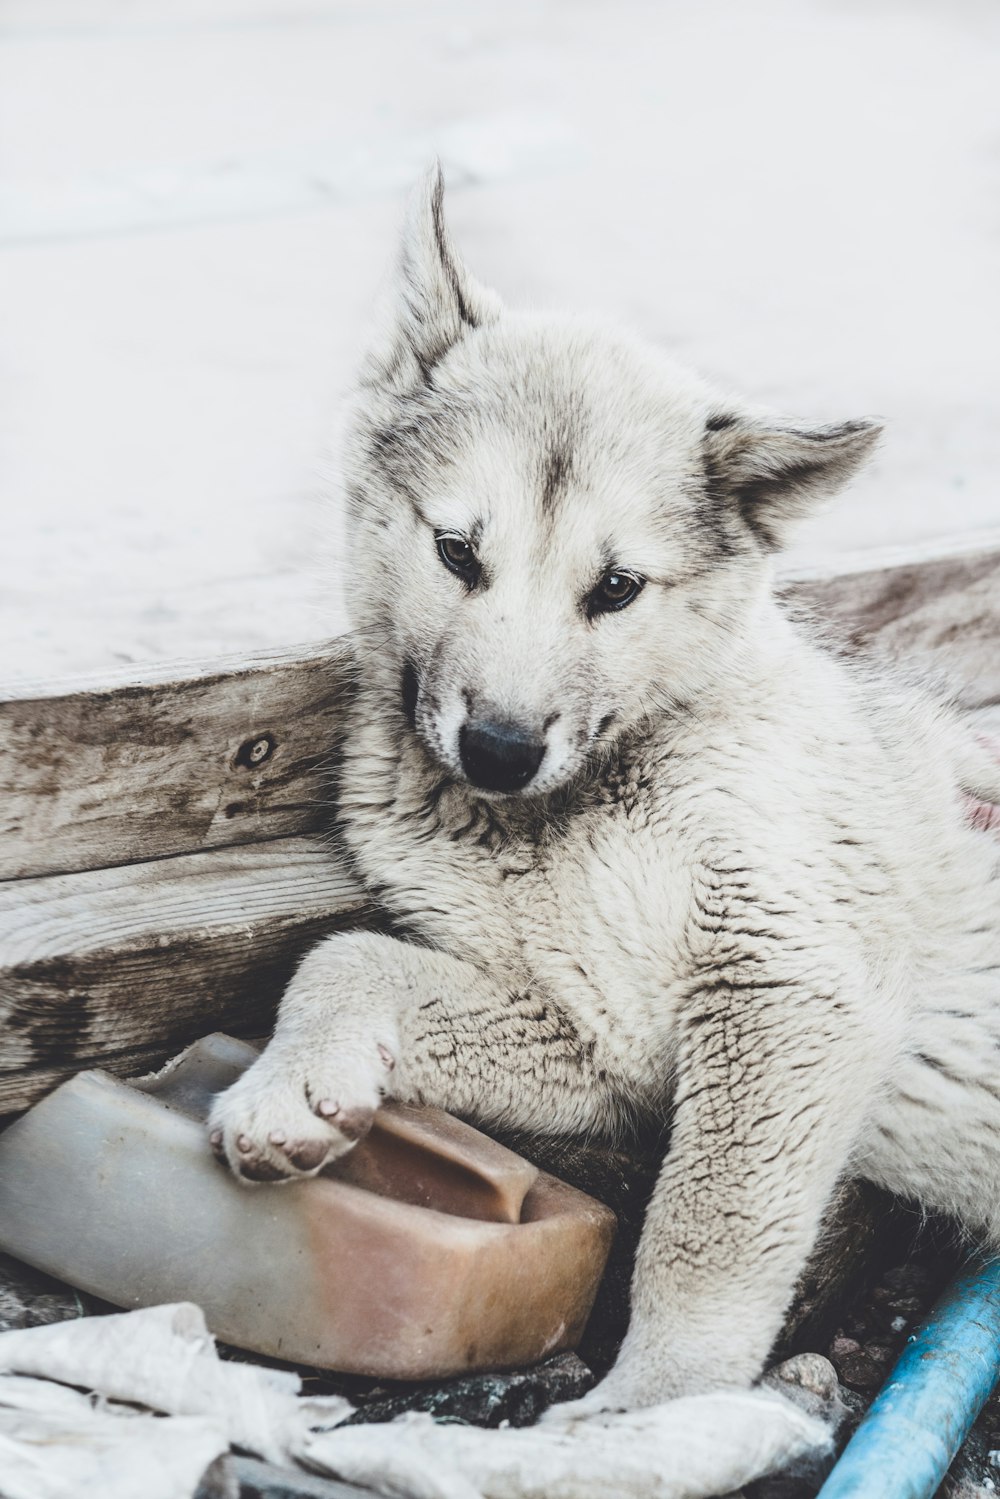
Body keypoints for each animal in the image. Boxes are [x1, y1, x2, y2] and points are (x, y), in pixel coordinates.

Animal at [211, 170, 1000, 1409]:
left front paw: (652, 1406)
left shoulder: (791, 984)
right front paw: (298, 1086)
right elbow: (343, 956)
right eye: (455, 551)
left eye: (617, 587)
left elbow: (704, 1229)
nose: (495, 747)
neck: (574, 809)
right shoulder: (598, 1041)